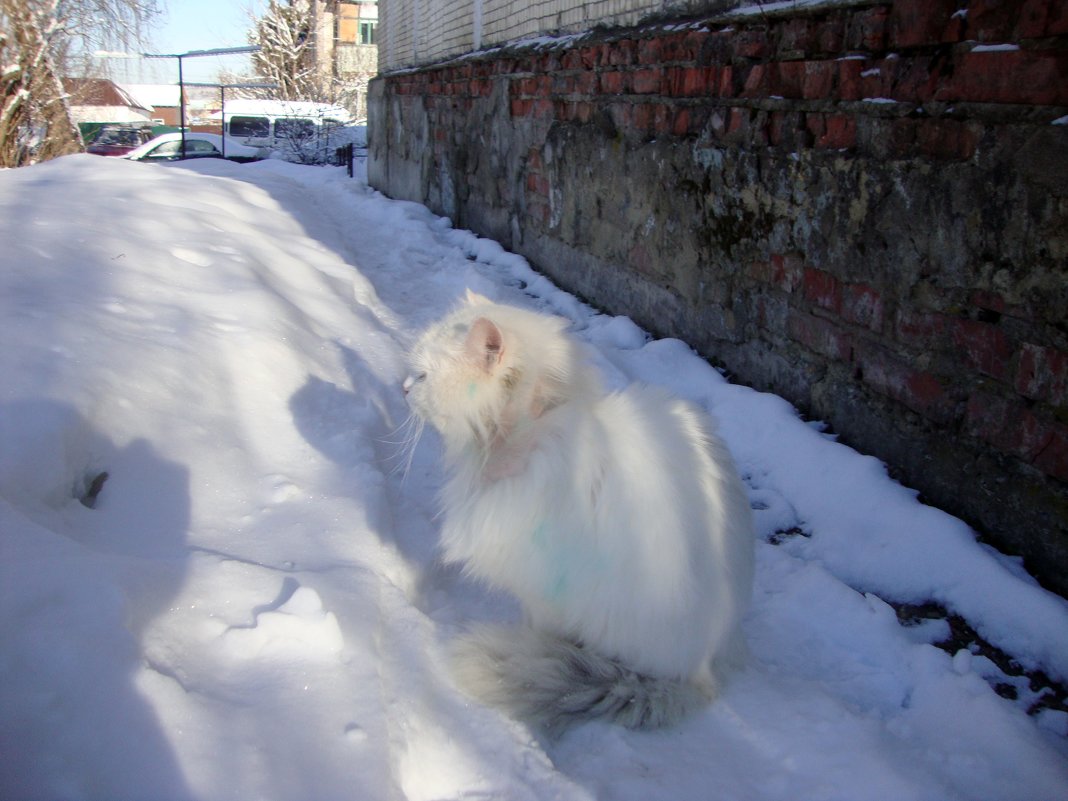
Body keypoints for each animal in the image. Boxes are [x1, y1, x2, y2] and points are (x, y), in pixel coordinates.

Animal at [403, 292, 756, 739]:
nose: (402, 388)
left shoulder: (541, 594)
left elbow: (535, 624)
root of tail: (705, 671)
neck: (531, 432)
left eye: (422, 376)